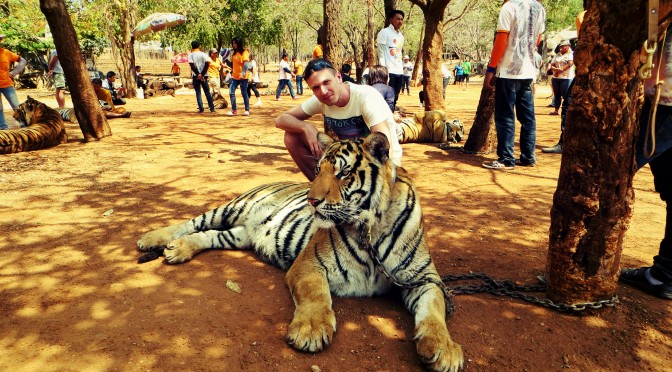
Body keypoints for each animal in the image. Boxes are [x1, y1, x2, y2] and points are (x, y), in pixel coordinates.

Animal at [136, 132, 462, 370]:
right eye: (318, 170)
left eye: (343, 173)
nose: (311, 200)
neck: (371, 227)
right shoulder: (310, 264)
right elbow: (316, 296)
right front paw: (310, 331)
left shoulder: (425, 279)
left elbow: (434, 311)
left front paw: (444, 349)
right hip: (232, 208)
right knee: (191, 222)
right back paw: (153, 238)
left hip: (238, 234)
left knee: (208, 236)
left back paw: (178, 250)